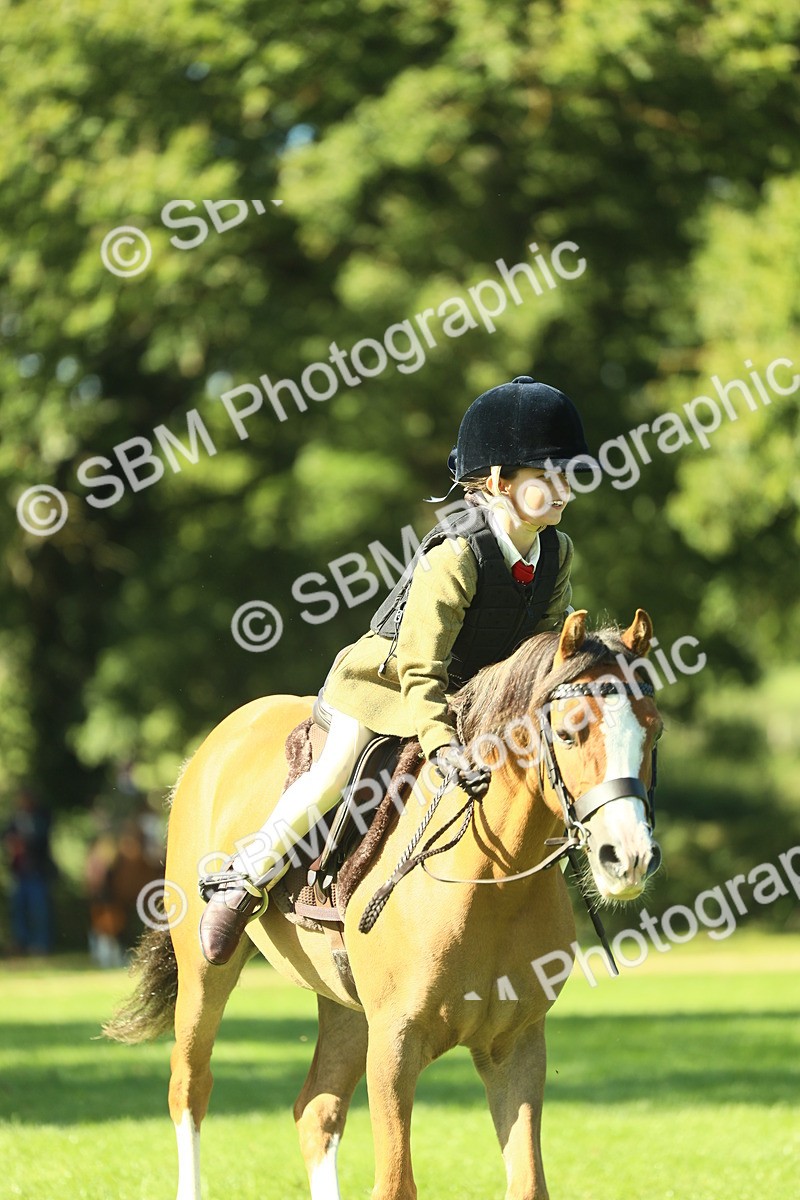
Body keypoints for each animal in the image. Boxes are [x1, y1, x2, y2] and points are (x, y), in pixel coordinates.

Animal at [105, 608, 663, 1200]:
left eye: (654, 730)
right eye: (569, 731)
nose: (628, 857)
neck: (494, 882)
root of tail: (216, 741)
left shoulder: (515, 1047)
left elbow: (528, 1184)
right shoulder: (395, 1047)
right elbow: (396, 1184)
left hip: (347, 1007)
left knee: (315, 1110)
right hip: (205, 973)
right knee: (190, 1089)